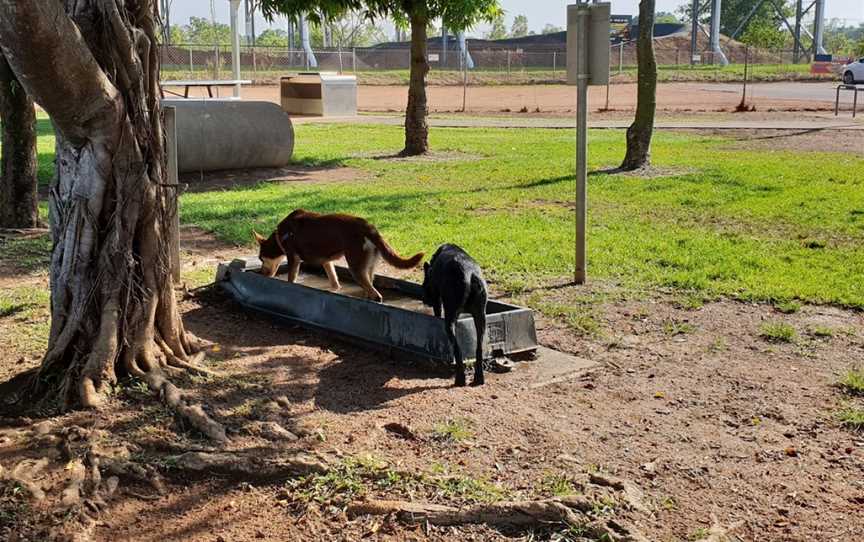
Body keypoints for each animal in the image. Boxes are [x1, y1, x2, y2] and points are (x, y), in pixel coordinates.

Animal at [251, 209, 424, 304]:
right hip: (367, 267)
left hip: (355, 267)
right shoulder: (326, 261)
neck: (281, 236)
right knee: (370, 289)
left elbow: (291, 280)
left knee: (377, 295)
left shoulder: (294, 259)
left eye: (261, 259)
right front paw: (334, 290)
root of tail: (368, 227)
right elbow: (334, 281)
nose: (261, 273)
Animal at [422, 244, 490, 388]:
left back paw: (460, 379)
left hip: (450, 318)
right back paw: (478, 379)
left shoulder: (437, 298)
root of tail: (469, 274)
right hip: (481, 317)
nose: (424, 299)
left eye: (424, 285)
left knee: (457, 350)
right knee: (479, 348)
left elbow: (437, 312)